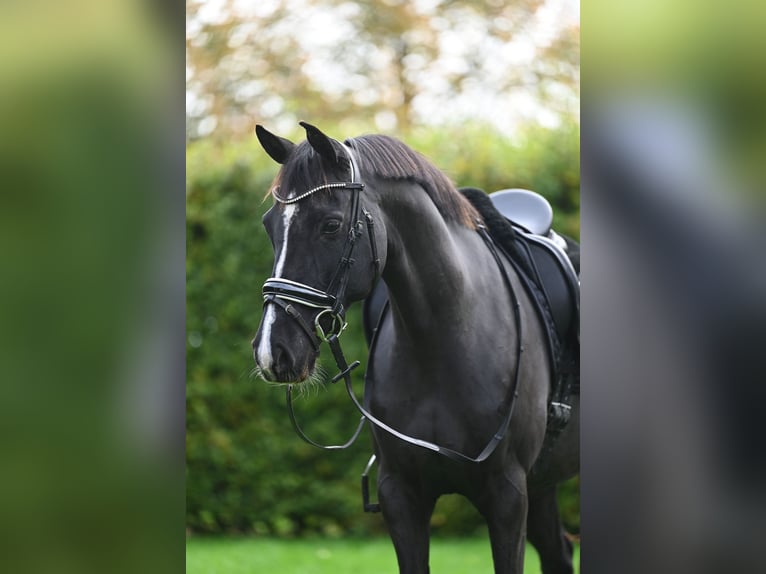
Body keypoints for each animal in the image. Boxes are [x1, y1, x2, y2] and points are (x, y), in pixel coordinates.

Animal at [251, 122, 579, 574]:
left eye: (331, 225)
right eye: (270, 226)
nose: (273, 351)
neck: (443, 340)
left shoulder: (508, 496)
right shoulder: (400, 496)